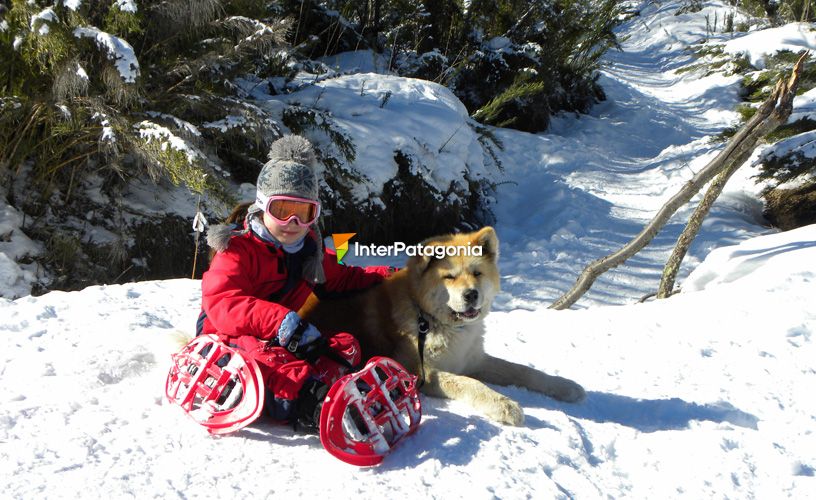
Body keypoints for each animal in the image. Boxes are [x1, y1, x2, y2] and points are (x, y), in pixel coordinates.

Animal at [298, 228, 580, 426]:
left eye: (477, 273)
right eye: (450, 277)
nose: (471, 294)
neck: (434, 321)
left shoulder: (474, 360)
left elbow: (524, 371)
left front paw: (566, 387)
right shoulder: (419, 372)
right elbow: (468, 383)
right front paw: (503, 404)